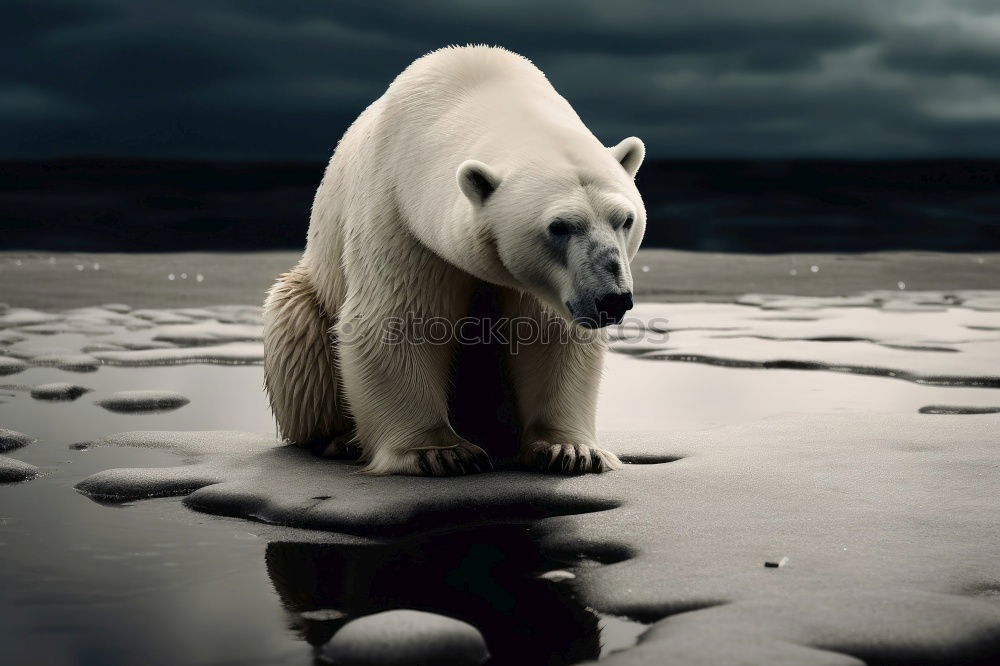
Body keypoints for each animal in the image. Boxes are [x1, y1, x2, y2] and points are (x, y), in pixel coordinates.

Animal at [262, 45, 644, 472]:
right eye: (559, 227)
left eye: (625, 219)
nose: (611, 299)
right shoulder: (398, 212)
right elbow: (399, 320)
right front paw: (438, 452)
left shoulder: (537, 281)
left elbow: (548, 333)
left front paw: (571, 449)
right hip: (310, 297)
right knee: (298, 330)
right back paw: (337, 438)